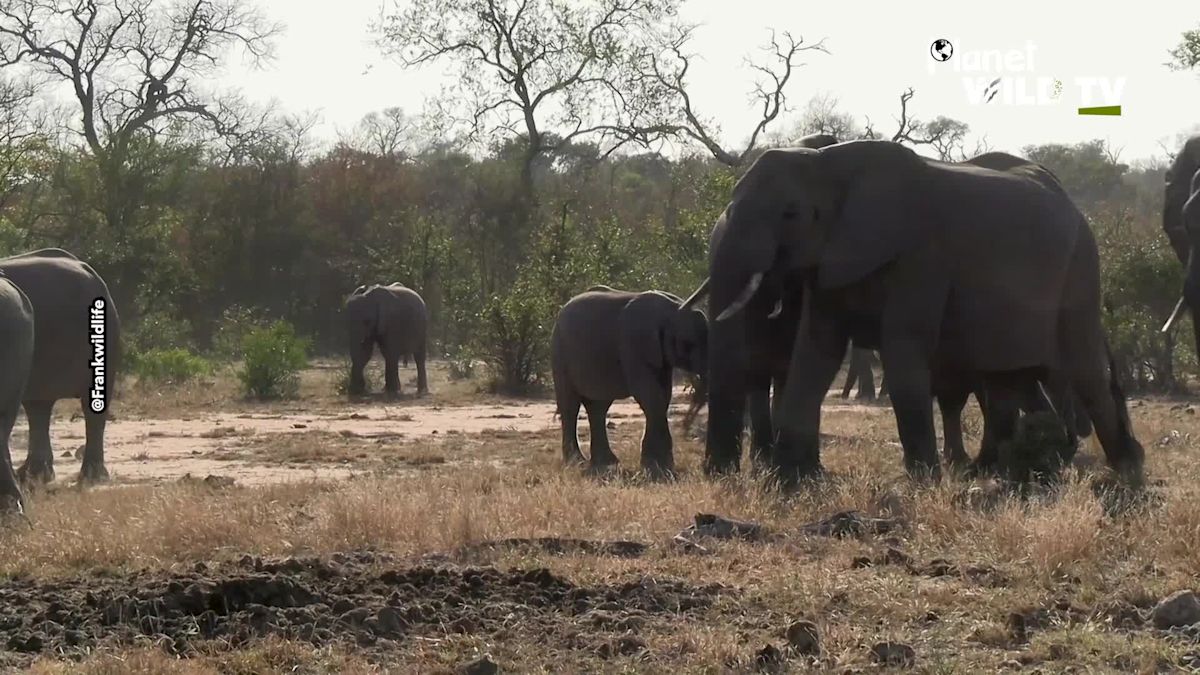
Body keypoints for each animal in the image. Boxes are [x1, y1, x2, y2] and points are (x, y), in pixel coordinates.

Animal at [0, 249, 121, 485]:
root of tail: (89, 270)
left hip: (103, 336)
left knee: (91, 408)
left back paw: (90, 477)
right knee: (38, 407)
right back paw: (32, 476)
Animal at [551, 285, 707, 478]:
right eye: (688, 344)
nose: (685, 427)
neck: (673, 309)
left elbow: (663, 395)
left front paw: (659, 466)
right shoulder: (635, 345)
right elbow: (650, 396)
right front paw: (657, 467)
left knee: (598, 407)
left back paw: (606, 462)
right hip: (559, 352)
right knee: (570, 405)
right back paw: (577, 462)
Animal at [683, 140, 1143, 487]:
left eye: (790, 213)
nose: (714, 473)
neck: (829, 162)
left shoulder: (924, 256)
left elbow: (902, 347)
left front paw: (922, 482)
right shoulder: (833, 259)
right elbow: (816, 352)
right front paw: (789, 481)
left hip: (1081, 265)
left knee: (1083, 368)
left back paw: (1124, 470)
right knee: (1004, 377)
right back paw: (999, 469)